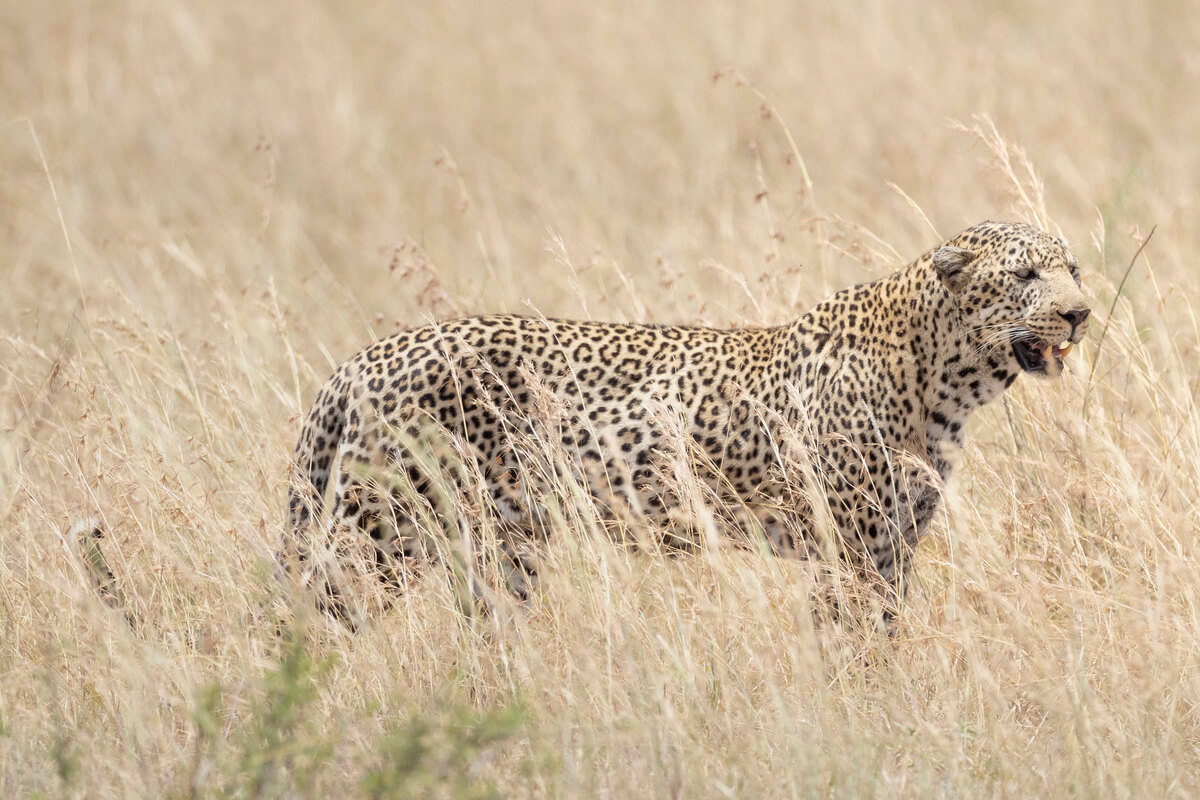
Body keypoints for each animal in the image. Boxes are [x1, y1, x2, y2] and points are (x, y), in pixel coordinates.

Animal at [284, 220, 1089, 627]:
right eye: (1026, 276)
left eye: (1074, 269)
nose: (1080, 312)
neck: (946, 381)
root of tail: (365, 358)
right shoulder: (851, 548)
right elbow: (852, 641)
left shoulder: (894, 547)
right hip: (384, 528)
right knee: (310, 613)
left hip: (501, 542)